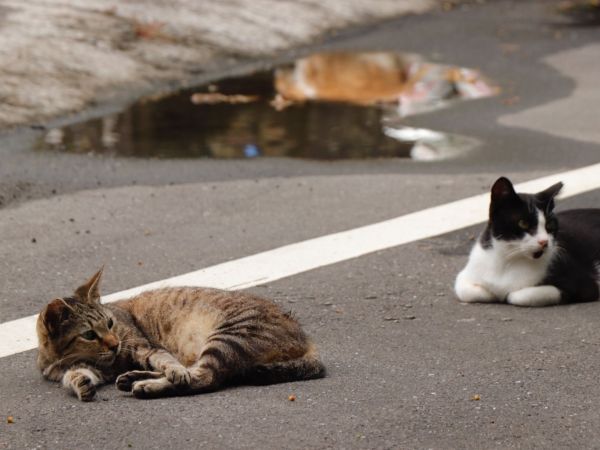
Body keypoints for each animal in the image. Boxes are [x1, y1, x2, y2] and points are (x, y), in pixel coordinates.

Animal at [37, 270, 324, 400]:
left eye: (109, 323)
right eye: (89, 334)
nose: (114, 344)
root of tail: (307, 338)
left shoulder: (143, 345)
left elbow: (167, 362)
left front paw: (172, 372)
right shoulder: (78, 367)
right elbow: (75, 375)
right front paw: (81, 384)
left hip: (228, 337)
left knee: (203, 378)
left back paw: (146, 385)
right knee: (196, 373)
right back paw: (133, 378)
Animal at [454, 176, 600, 306]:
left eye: (550, 224)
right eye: (523, 223)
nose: (544, 242)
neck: (508, 259)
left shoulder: (585, 286)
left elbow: (515, 295)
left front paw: (505, 295)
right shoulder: (466, 275)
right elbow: (465, 290)